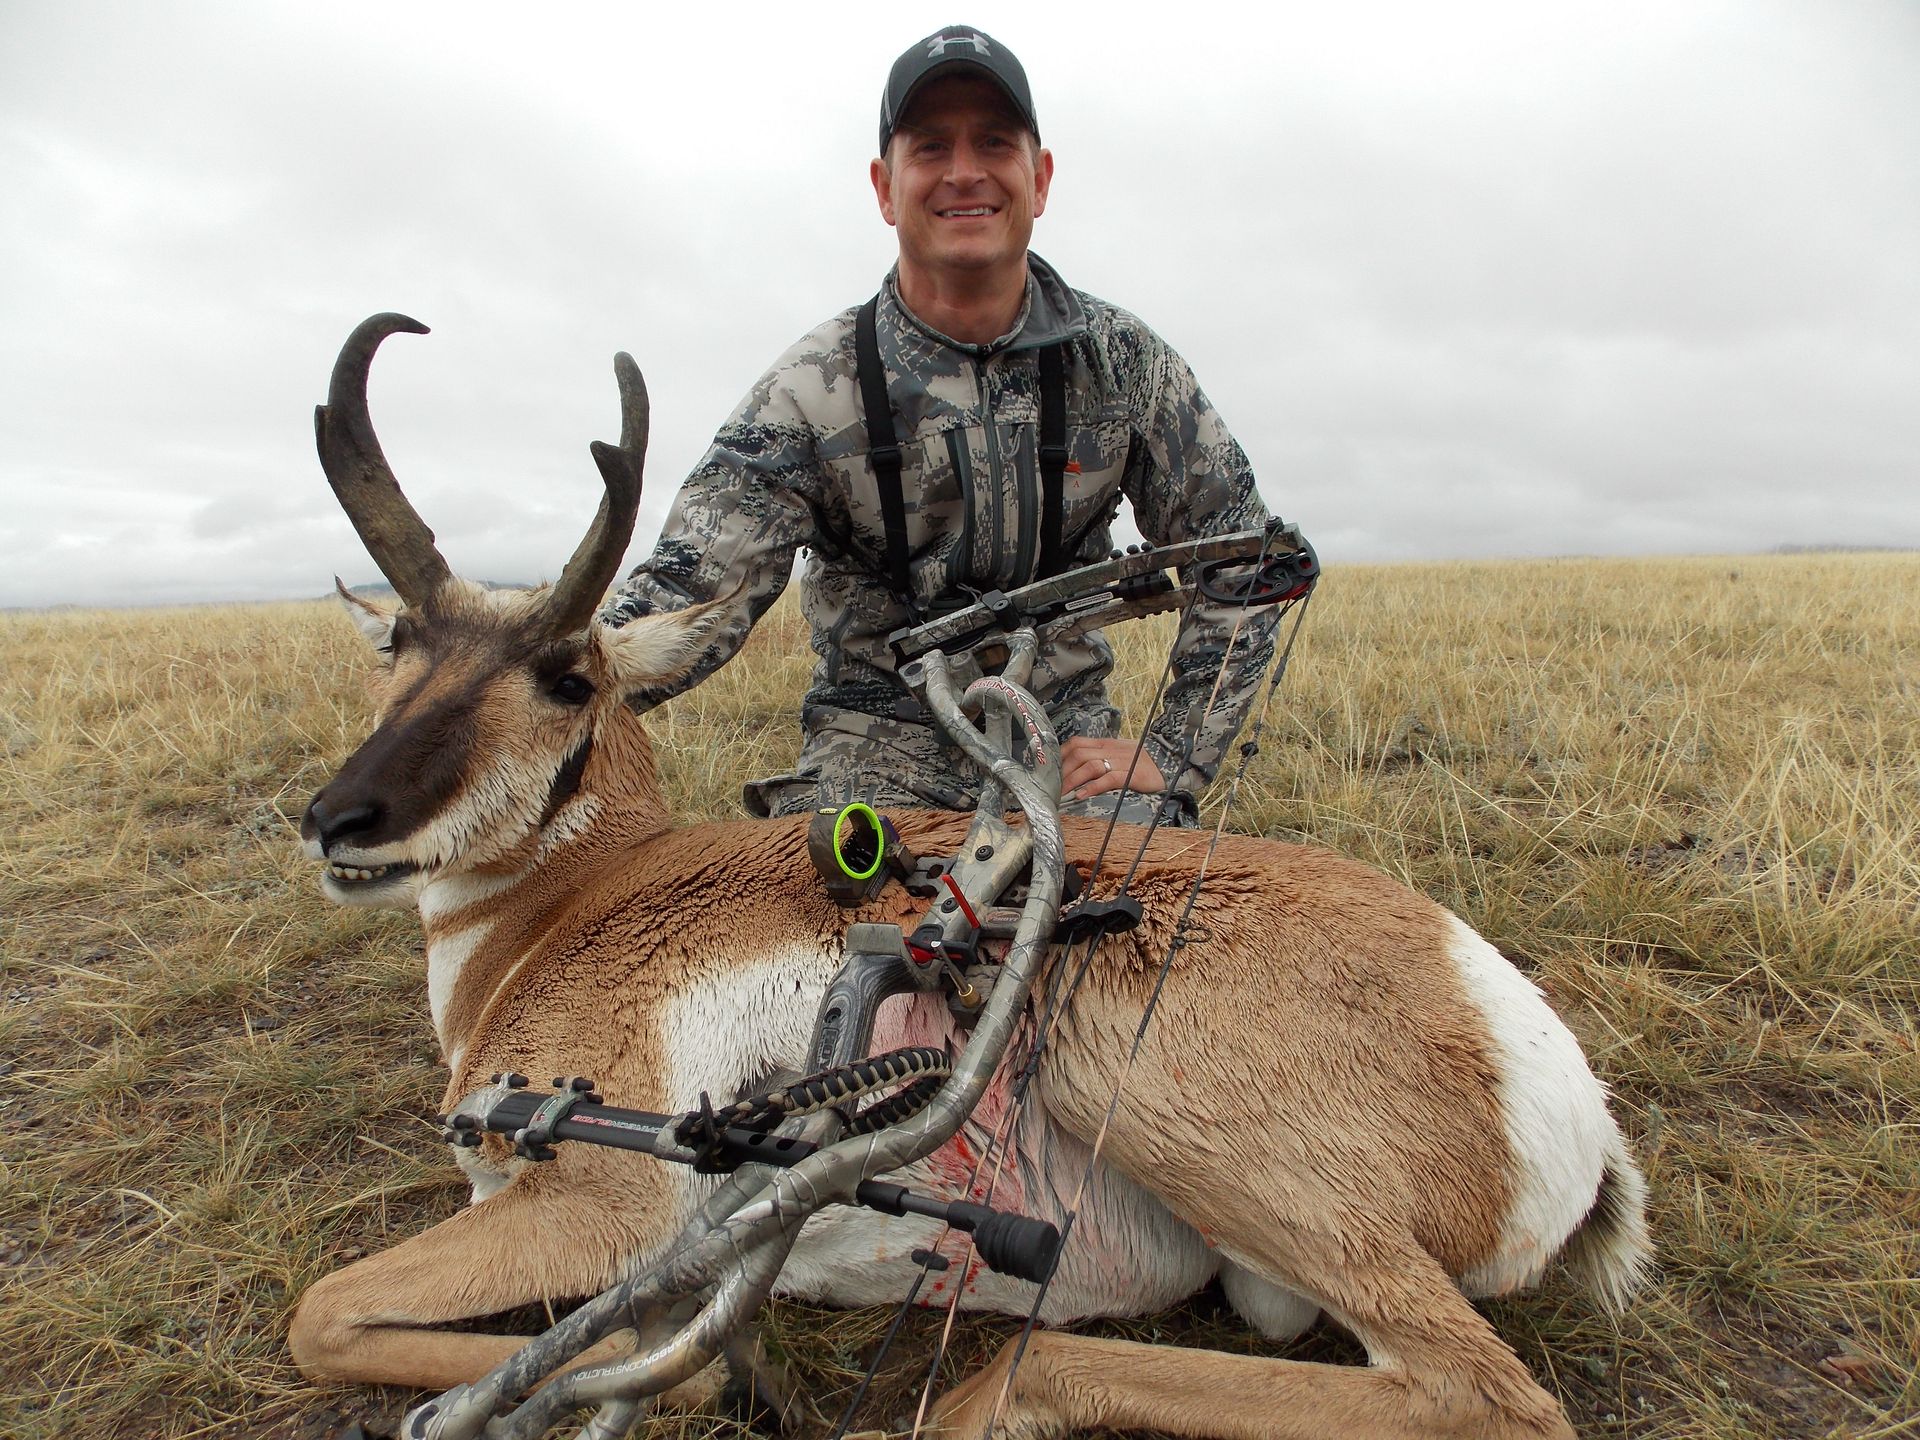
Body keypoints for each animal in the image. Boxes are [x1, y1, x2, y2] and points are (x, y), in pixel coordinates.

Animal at [289, 314, 1650, 1440]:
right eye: (397, 644)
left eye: (569, 674)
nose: (338, 821)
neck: (570, 906)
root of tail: (1523, 1040)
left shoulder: (599, 1211)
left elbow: (326, 1313)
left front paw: (669, 1370)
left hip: (1138, 1089)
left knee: (1481, 1396)